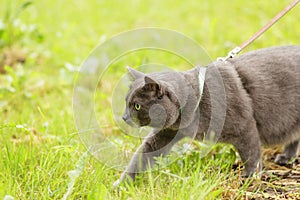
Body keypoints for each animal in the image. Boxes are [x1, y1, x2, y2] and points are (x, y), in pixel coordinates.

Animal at [113, 45, 300, 186]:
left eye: (137, 106)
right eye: (126, 102)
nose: (124, 117)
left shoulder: (245, 126)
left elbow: (251, 153)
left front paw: (250, 176)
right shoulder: (167, 132)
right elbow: (142, 156)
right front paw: (121, 184)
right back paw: (286, 157)